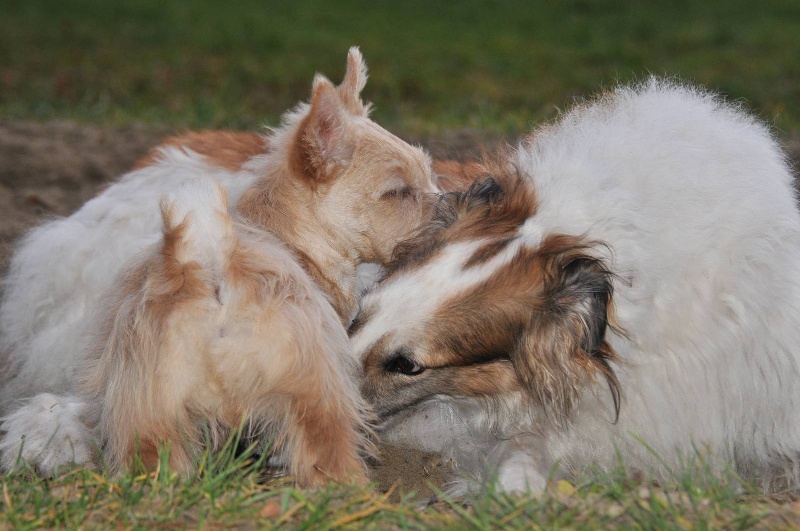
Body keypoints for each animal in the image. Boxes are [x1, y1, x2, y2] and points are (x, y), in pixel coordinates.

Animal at [1, 47, 438, 484]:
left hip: (148, 408)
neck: (285, 235)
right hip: (317, 394)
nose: (447, 201)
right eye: (397, 192)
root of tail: (207, 263)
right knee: (324, 452)